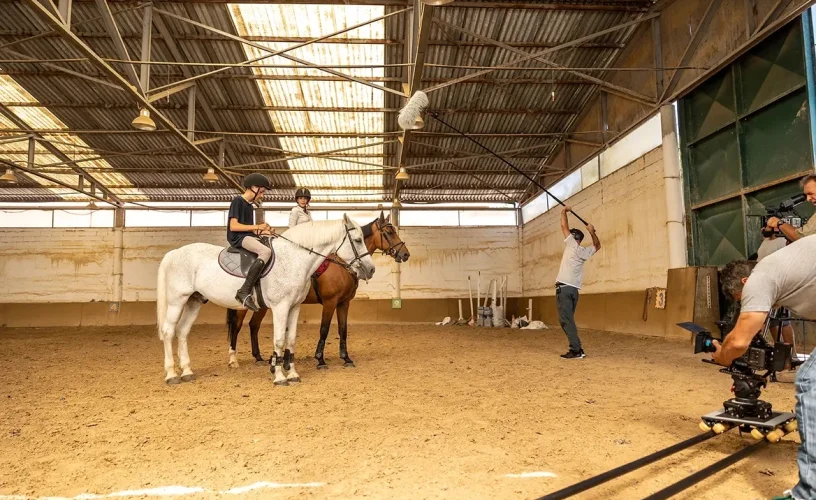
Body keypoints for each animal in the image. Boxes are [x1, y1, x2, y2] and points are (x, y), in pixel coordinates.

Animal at [155, 216, 374, 386]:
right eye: (357, 240)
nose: (371, 269)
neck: (294, 259)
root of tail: (174, 253)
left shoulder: (294, 307)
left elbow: (291, 339)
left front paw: (292, 374)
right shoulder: (282, 307)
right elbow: (280, 340)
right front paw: (279, 376)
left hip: (194, 301)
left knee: (183, 331)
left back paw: (187, 372)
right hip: (177, 301)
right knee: (169, 331)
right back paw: (172, 375)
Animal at [226, 211, 408, 368]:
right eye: (389, 232)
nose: (405, 254)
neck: (341, 266)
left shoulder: (344, 303)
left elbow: (343, 329)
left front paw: (346, 358)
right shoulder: (330, 302)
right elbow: (324, 329)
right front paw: (320, 359)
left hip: (263, 306)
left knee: (253, 325)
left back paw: (258, 357)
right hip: (243, 306)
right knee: (237, 326)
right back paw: (234, 359)